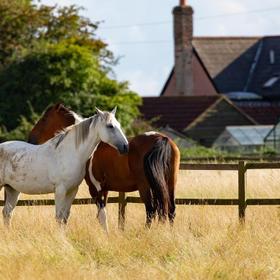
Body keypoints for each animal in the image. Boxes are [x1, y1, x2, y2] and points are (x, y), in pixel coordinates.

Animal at [0, 106, 129, 225]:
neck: (71, 153)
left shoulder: (72, 191)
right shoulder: (60, 190)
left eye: (118, 124)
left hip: (12, 189)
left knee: (7, 213)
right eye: (110, 126)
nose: (125, 146)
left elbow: (65, 218)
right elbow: (59, 217)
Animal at [28, 103, 180, 230]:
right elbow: (102, 214)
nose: (31, 139)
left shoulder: (95, 189)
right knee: (170, 210)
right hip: (169, 182)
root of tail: (161, 138)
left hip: (145, 186)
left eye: (44, 119)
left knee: (150, 210)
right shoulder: (105, 189)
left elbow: (102, 215)